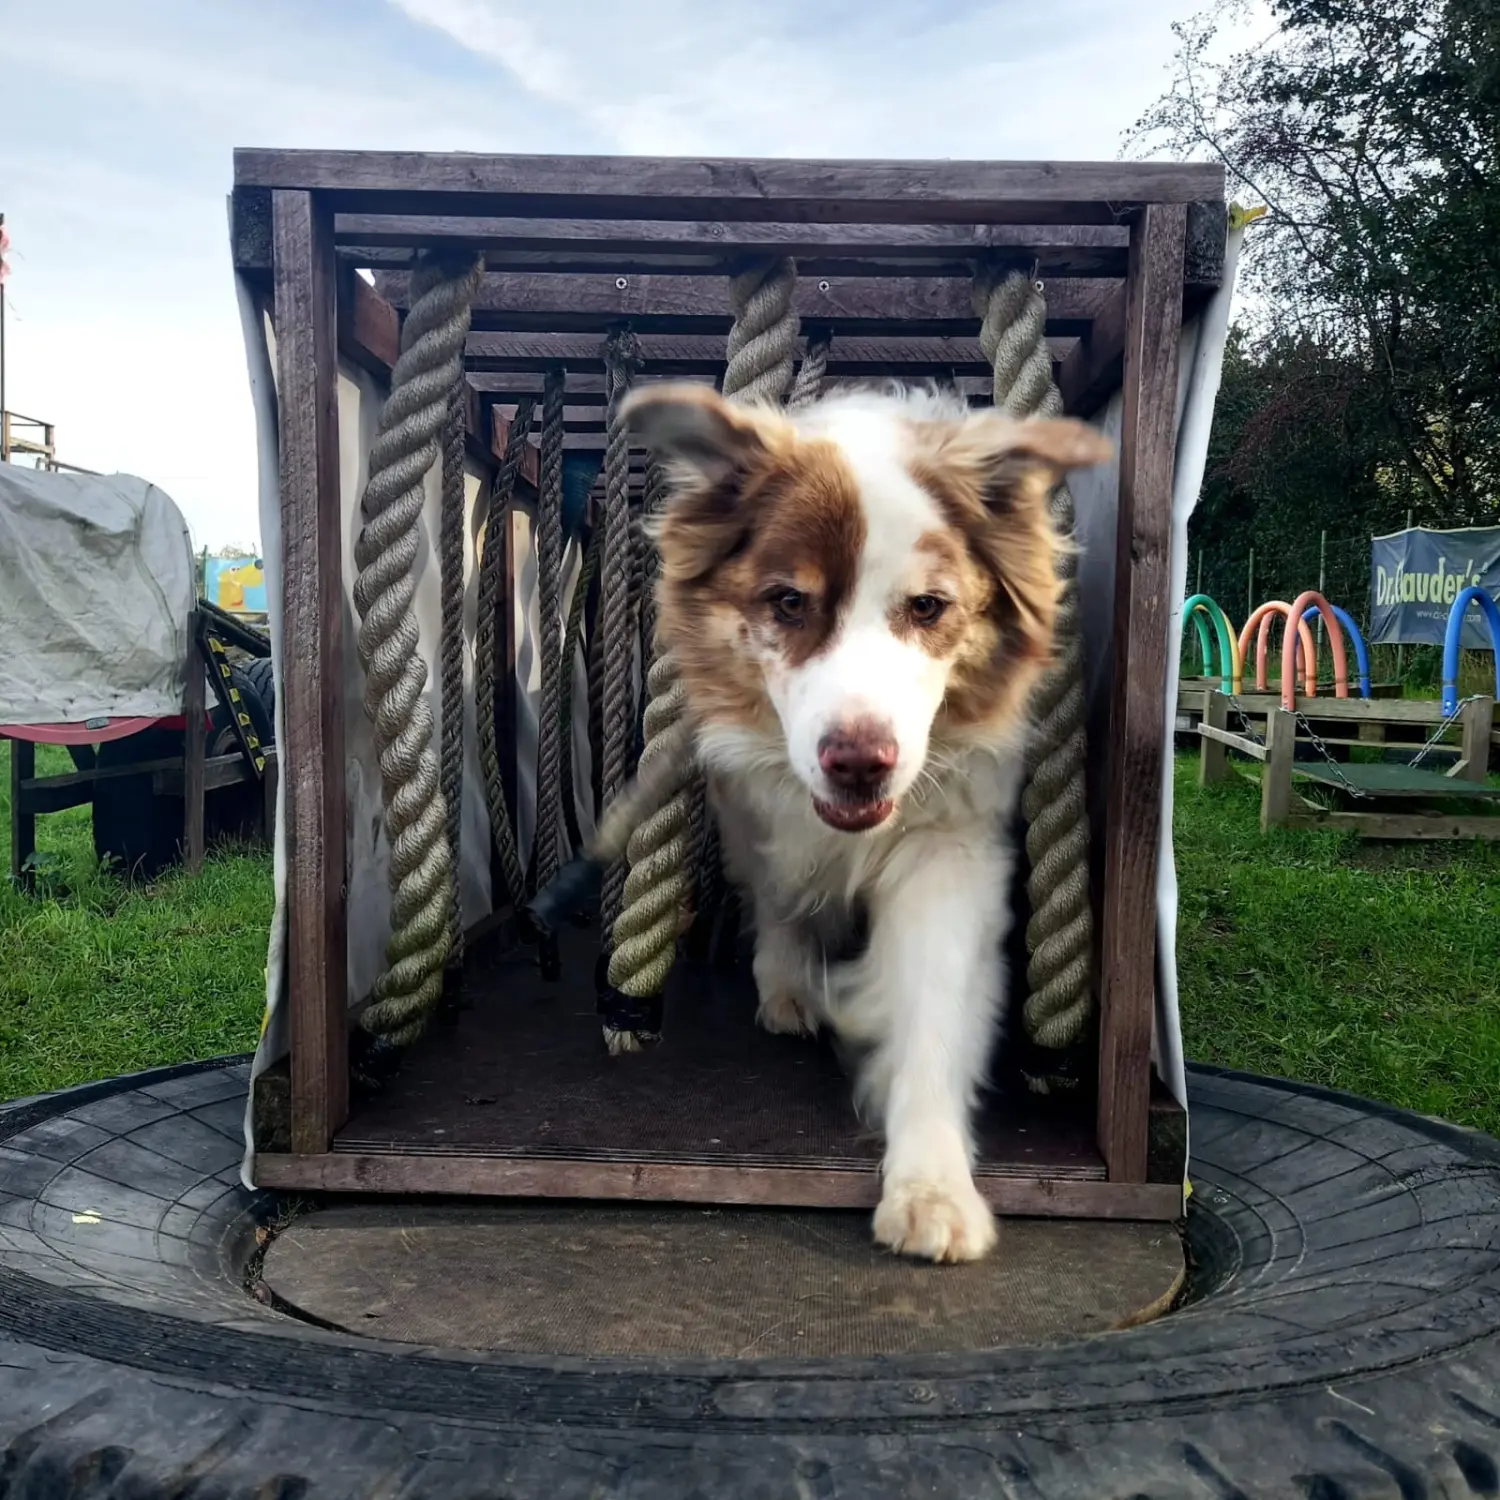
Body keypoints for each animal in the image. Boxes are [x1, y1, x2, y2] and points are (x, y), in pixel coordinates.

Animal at [624, 381, 1116, 1260]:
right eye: (789, 602)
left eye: (928, 607)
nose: (861, 762)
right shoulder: (757, 804)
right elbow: (784, 899)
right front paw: (794, 982)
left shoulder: (953, 849)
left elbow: (931, 1008)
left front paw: (931, 1186)